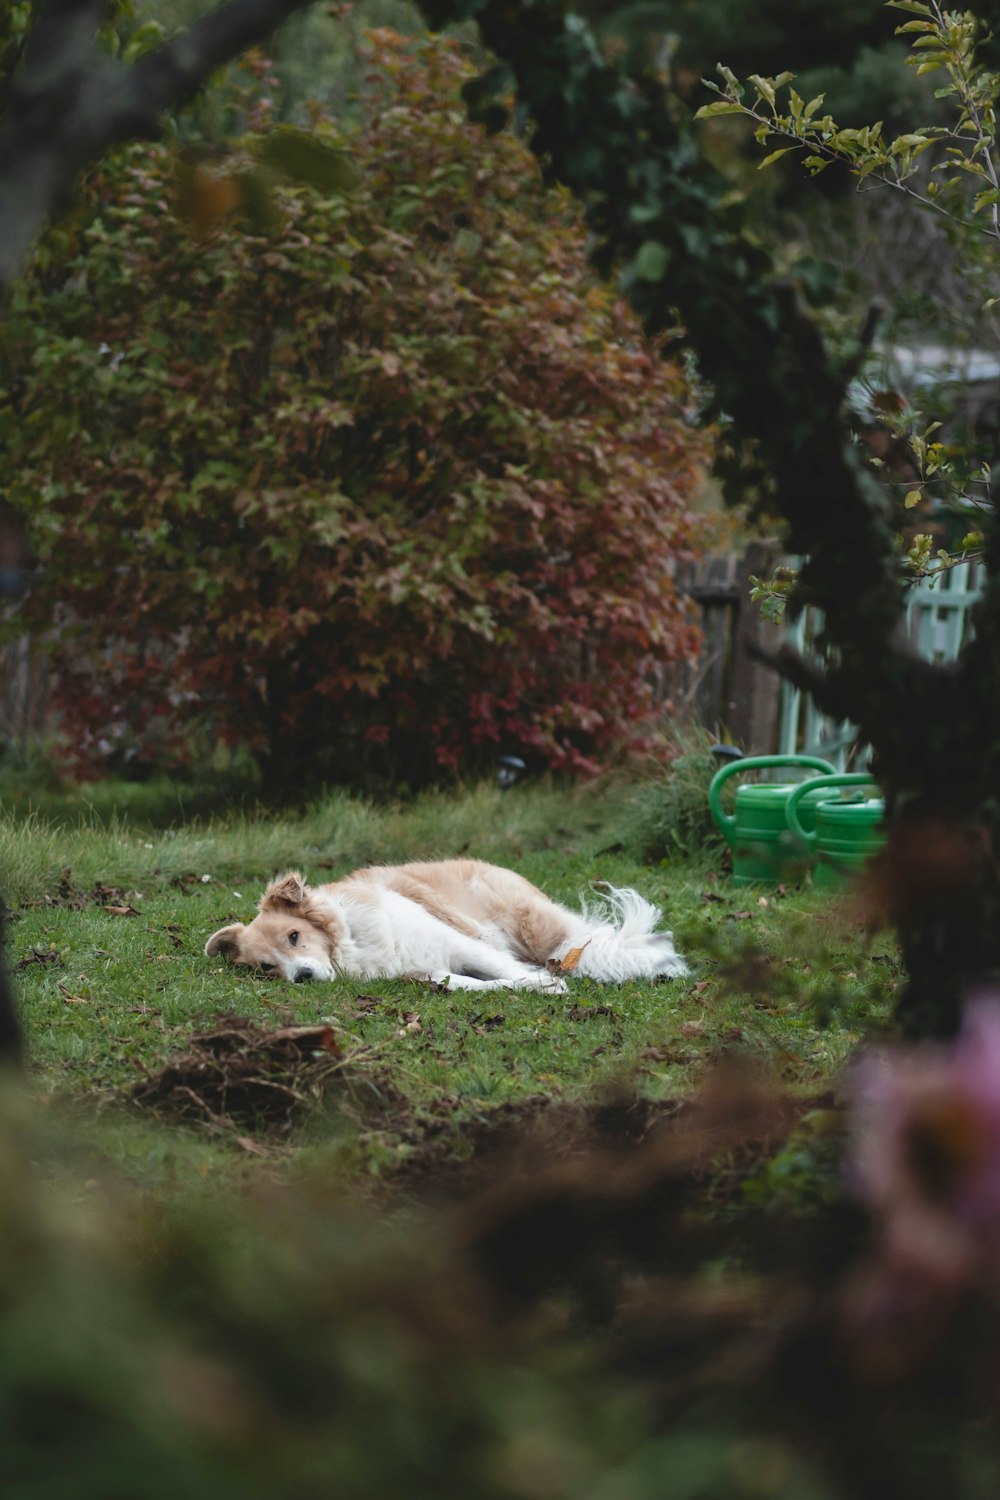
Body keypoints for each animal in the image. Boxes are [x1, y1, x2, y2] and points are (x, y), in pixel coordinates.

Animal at [203, 858, 689, 996]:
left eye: (295, 936)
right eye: (267, 967)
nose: (302, 977)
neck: (351, 941)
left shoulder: (461, 944)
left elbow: (506, 970)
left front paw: (546, 984)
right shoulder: (428, 971)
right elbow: (466, 984)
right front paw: (535, 985)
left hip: (535, 929)